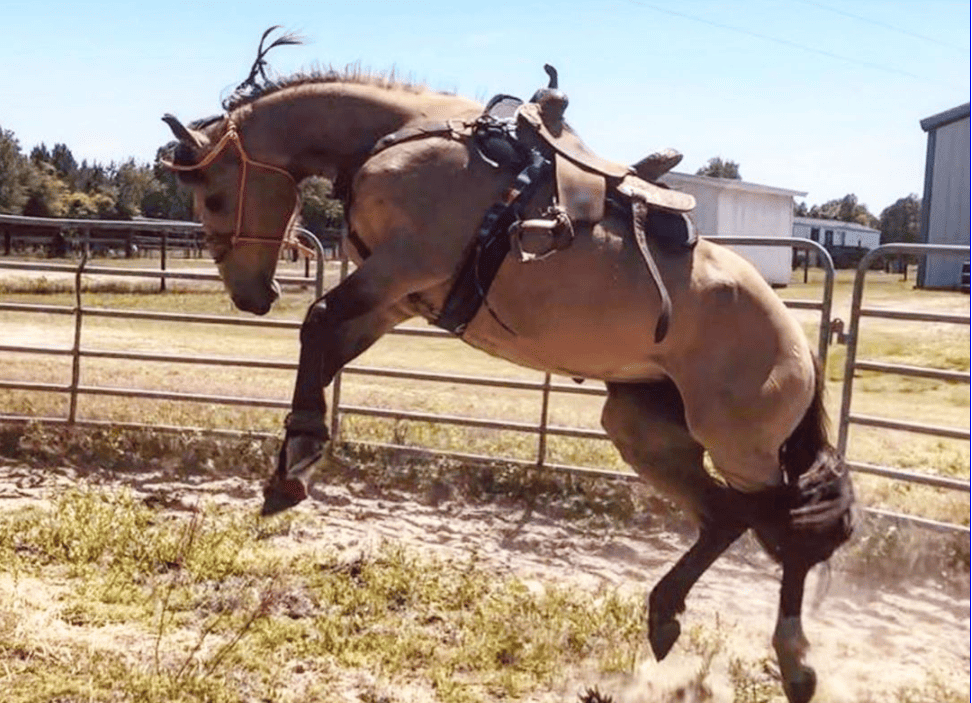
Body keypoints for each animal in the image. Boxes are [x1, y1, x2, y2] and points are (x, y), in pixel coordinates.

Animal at [161, 42, 853, 703]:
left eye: (215, 195)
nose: (252, 296)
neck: (400, 134)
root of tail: (799, 347)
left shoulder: (403, 264)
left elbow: (318, 323)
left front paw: (298, 455)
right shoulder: (397, 297)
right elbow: (328, 343)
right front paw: (294, 463)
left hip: (741, 449)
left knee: (786, 532)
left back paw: (794, 664)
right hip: (644, 430)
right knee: (725, 519)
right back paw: (664, 617)